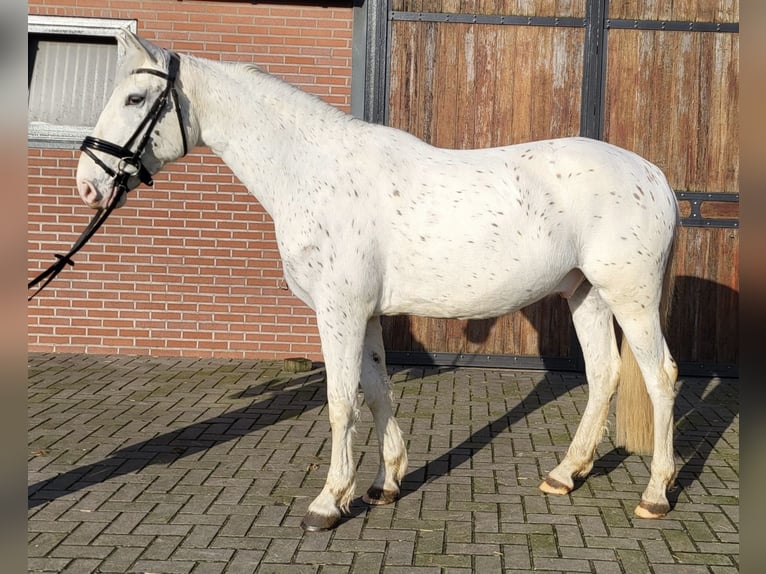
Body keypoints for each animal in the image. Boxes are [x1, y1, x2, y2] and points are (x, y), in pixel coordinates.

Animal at [75, 31, 680, 532]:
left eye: (134, 100)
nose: (87, 185)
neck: (313, 171)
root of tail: (654, 176)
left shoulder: (338, 311)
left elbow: (341, 401)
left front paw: (327, 503)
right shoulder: (363, 315)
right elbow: (377, 389)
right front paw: (384, 485)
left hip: (631, 298)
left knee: (661, 378)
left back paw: (654, 495)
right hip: (586, 294)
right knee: (602, 375)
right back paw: (565, 474)